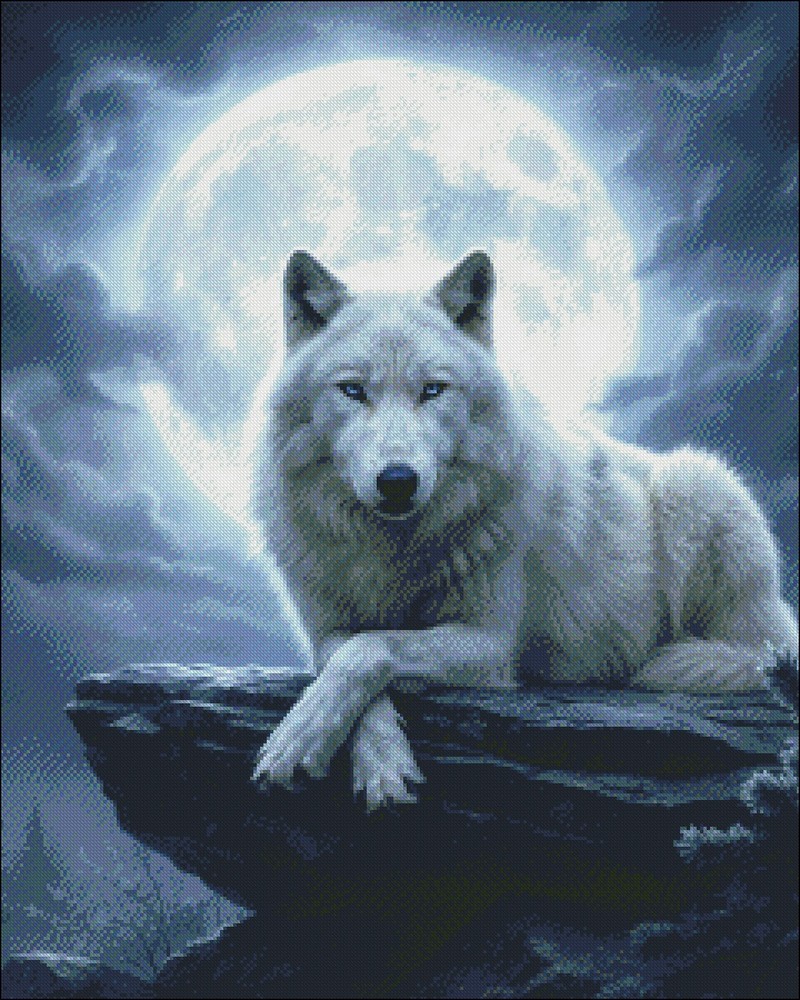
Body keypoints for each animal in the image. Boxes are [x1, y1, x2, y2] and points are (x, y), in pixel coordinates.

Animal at [252, 249, 798, 810]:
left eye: (432, 390)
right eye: (353, 390)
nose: (398, 481)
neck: (394, 551)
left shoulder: (492, 643)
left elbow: (370, 650)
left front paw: (296, 742)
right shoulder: (325, 629)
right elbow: (349, 655)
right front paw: (373, 761)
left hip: (692, 483)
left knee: (752, 654)